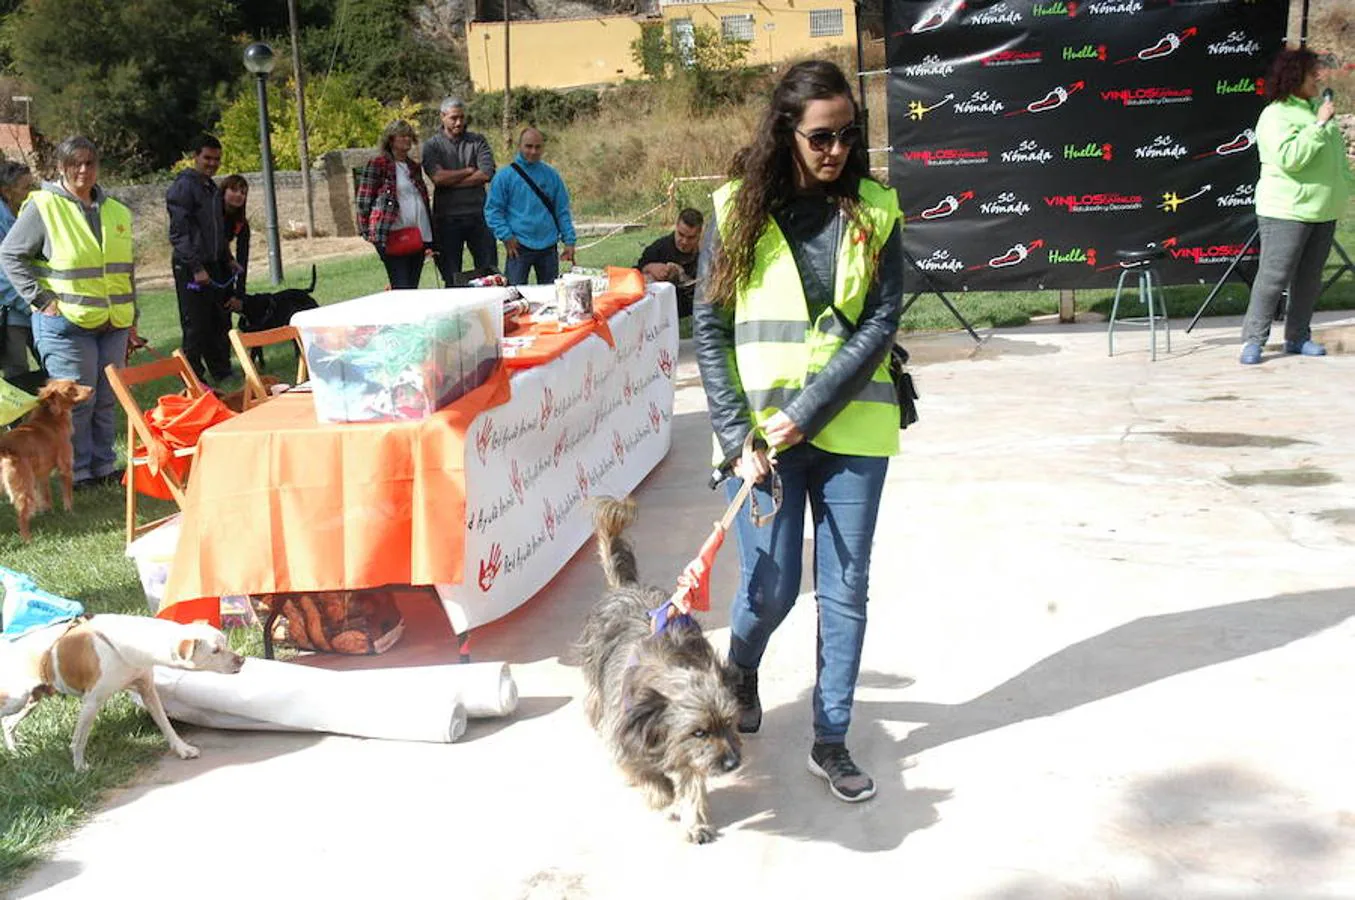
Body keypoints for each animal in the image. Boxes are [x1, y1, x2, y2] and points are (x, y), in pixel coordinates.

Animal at [0, 379, 94, 542]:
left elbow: (46, 495)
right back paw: (27, 539)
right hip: (24, 487)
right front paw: (70, 512)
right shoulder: (66, 467)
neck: (50, 418)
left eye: (76, 382)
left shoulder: (41, 474)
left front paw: (48, 512)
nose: (92, 389)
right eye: (69, 389)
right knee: (22, 517)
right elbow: (67, 496)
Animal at [1, 615, 243, 769]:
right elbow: (78, 741)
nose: (242, 660)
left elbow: (166, 724)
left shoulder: (148, 690)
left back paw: (14, 750)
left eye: (226, 641)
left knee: (8, 723)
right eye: (215, 651)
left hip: (32, 700)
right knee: (6, 718)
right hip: (17, 698)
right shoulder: (92, 702)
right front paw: (80, 768)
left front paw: (183, 749)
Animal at [571, 498, 742, 845]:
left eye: (730, 722)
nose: (733, 763)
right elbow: (646, 774)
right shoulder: (625, 737)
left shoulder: (687, 754)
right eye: (699, 731)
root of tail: (625, 587)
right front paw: (664, 796)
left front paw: (693, 822)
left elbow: (691, 783)